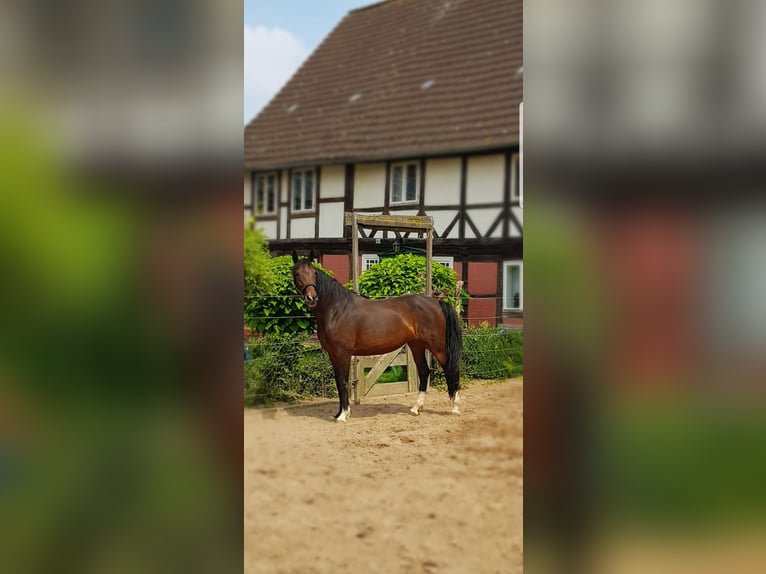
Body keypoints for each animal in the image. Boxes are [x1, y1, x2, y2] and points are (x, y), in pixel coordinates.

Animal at [292, 252, 462, 424]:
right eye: (297, 273)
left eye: (314, 273)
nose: (312, 298)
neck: (337, 309)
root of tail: (437, 302)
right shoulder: (333, 354)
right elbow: (339, 382)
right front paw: (340, 413)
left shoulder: (342, 353)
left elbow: (343, 382)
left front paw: (343, 415)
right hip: (417, 345)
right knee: (424, 371)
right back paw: (415, 408)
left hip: (437, 347)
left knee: (451, 369)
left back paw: (455, 408)